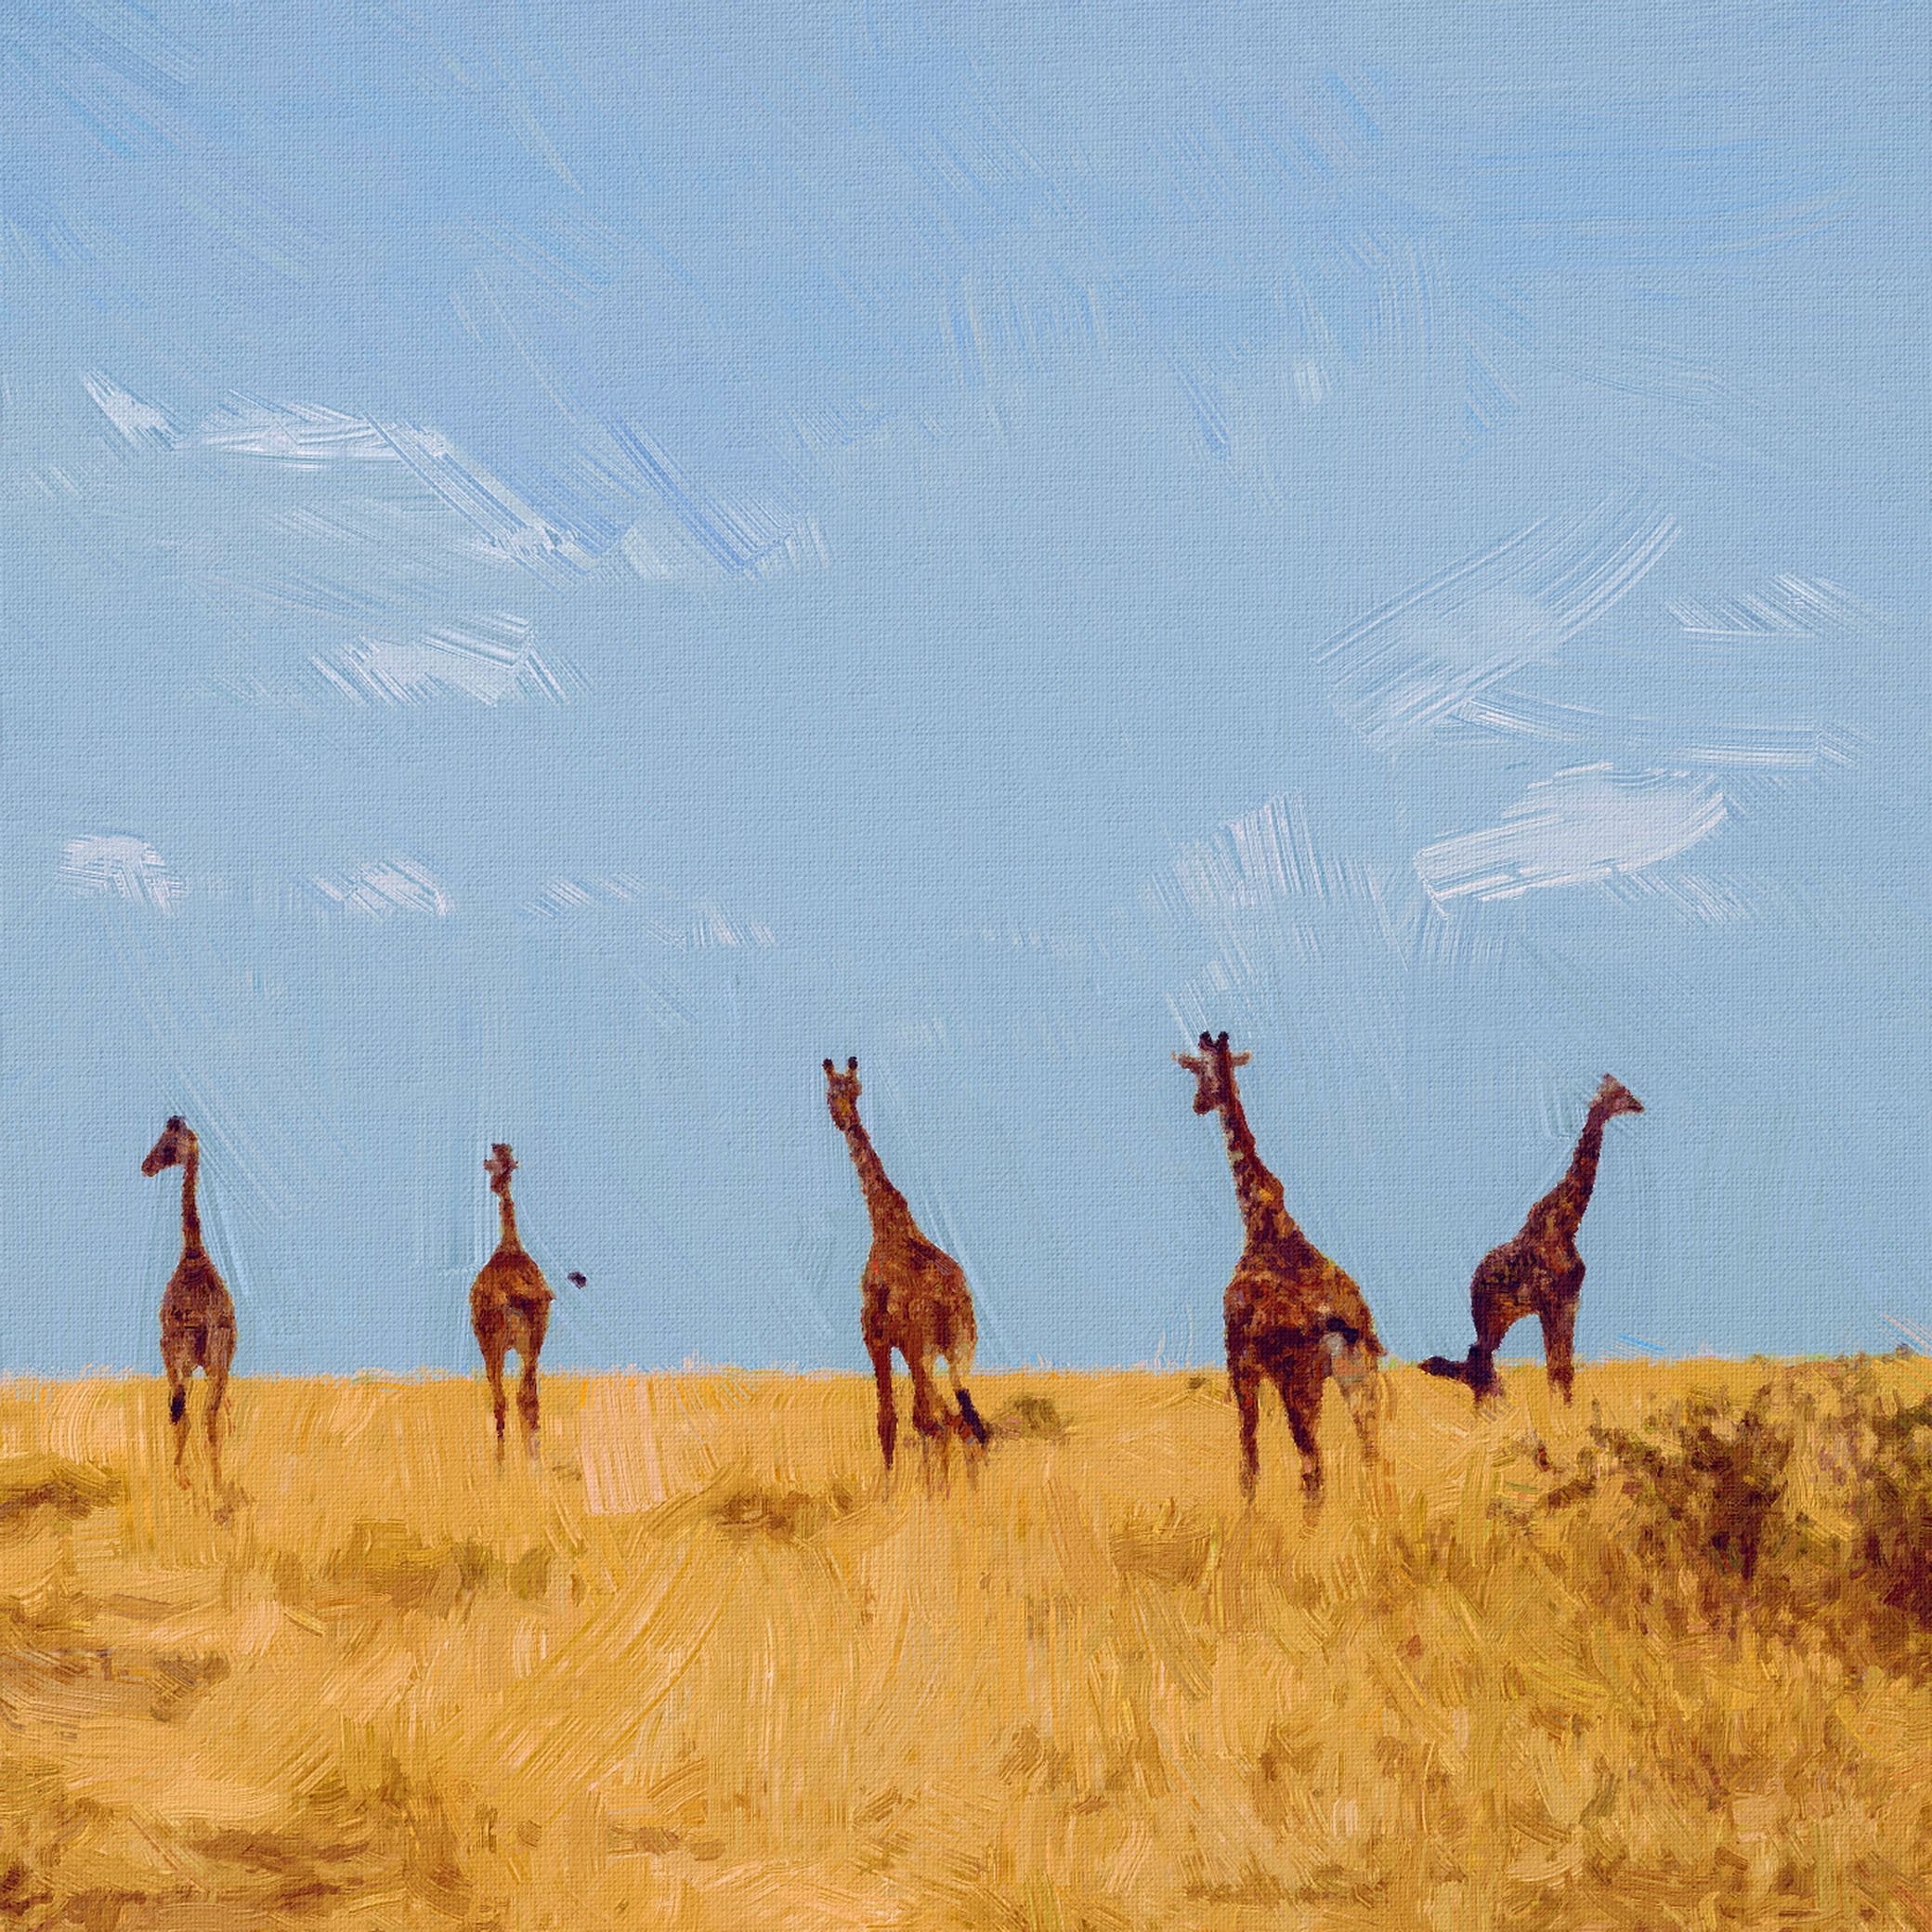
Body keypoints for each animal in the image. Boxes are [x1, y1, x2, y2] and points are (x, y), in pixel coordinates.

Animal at [142, 1115, 238, 1488]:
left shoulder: (182, 1354)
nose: (146, 1166)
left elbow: (189, 1414)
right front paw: (184, 1476)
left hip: (206, 1360)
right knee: (200, 1413)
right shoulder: (182, 1356)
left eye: (169, 1145)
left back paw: (213, 1478)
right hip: (203, 1362)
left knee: (205, 1414)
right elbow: (183, 1413)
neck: (194, 1256)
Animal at [469, 1143, 586, 1463]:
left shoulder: (490, 1343)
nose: (493, 1184)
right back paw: (532, 1462)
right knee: (528, 1396)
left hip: (496, 1344)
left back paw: (505, 1463)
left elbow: (502, 1399)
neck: (509, 1244)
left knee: (504, 1397)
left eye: (497, 1164)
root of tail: (512, 1293)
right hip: (533, 1340)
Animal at [823, 1057, 989, 1476]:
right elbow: (903, 1421)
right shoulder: (901, 1345)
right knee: (967, 1423)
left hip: (923, 1351)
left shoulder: (876, 1337)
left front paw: (888, 1489)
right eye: (833, 1093)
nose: (844, 1119)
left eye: (854, 1090)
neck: (887, 1224)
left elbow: (889, 1421)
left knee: (940, 1421)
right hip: (959, 1350)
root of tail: (951, 1300)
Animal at [1176, 1032, 1386, 1505]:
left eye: (1198, 1071)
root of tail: (1343, 1321)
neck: (1262, 1222)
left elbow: (1248, 1460)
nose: (1197, 1104)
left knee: (1314, 1468)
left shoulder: (1239, 1361)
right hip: (1358, 1378)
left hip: (1301, 1383)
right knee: (1373, 1455)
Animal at [1420, 1075, 1645, 1406]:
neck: (1566, 1224)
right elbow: (1556, 1365)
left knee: (1479, 1355)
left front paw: (1565, 1410)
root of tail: (1475, 1279)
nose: (1640, 1106)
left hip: (1502, 1316)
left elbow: (1563, 1365)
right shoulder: (1550, 1301)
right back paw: (1488, 1407)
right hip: (1491, 1314)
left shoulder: (1569, 1300)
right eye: (1621, 1094)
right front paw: (1557, 1412)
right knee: (1478, 1356)